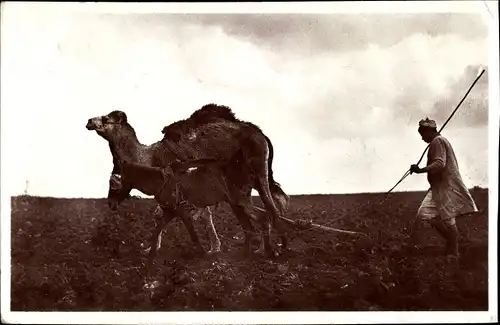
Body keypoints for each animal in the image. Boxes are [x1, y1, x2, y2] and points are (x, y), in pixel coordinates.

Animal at [85, 103, 290, 256]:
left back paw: (272, 248)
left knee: (271, 203)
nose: (89, 121)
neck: (149, 157)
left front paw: (213, 248)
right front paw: (151, 247)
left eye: (106, 118)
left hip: (258, 169)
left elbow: (201, 213)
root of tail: (261, 135)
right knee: (275, 200)